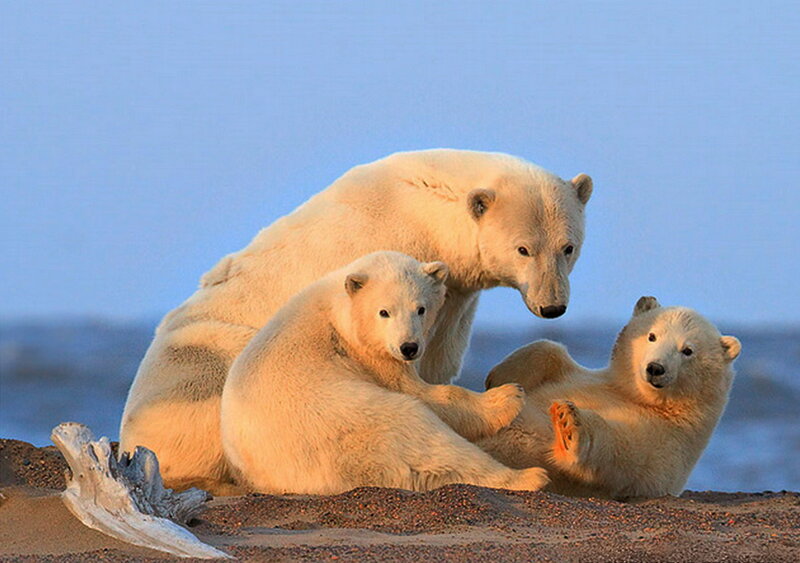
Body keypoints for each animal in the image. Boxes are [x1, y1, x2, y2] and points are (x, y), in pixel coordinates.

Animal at [220, 251, 549, 494]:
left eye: (421, 308)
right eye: (384, 312)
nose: (409, 347)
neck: (340, 310)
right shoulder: (367, 355)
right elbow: (423, 393)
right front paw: (507, 396)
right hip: (353, 425)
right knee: (424, 438)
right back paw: (529, 477)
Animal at [479, 296, 741, 500]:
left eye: (687, 350)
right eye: (652, 336)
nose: (655, 368)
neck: (636, 396)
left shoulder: (664, 445)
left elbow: (616, 450)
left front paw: (567, 421)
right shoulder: (592, 379)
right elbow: (550, 351)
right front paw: (497, 380)